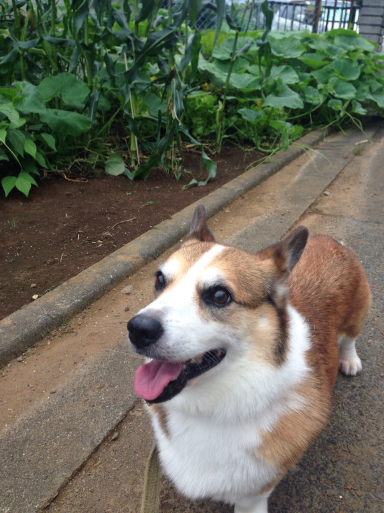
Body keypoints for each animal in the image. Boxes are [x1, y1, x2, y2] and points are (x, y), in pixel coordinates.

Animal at [129, 205, 372, 512]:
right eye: (160, 280)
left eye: (220, 295)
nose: (138, 329)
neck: (214, 410)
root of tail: (330, 240)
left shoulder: (254, 496)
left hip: (357, 314)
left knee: (350, 338)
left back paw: (350, 360)